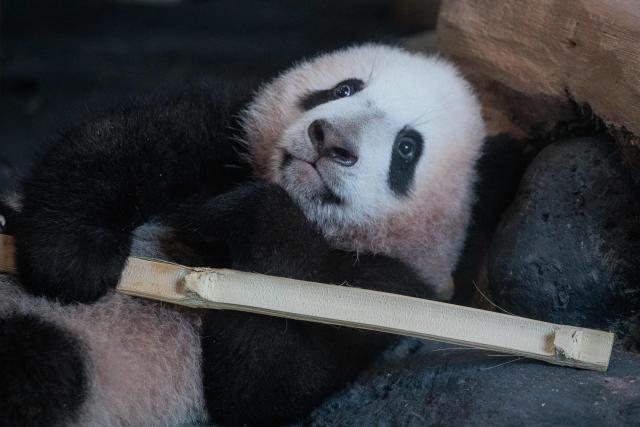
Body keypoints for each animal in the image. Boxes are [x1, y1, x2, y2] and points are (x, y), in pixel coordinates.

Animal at [0, 44, 518, 426]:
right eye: (344, 87)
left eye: (407, 148)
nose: (330, 140)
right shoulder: (230, 130)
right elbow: (121, 144)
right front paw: (73, 259)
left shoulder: (387, 294)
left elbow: (265, 383)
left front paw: (233, 214)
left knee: (45, 367)